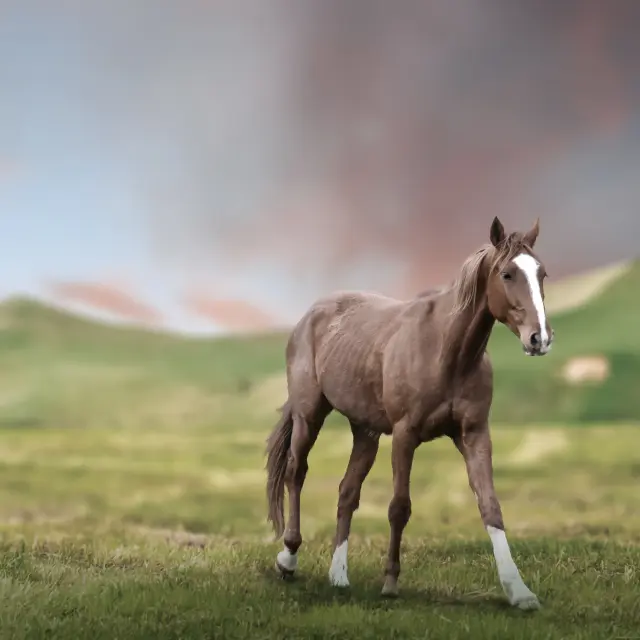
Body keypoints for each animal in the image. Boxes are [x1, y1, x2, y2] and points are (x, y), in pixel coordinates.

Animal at [265, 216, 554, 610]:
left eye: (542, 274)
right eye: (507, 274)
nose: (540, 338)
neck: (447, 352)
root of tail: (311, 314)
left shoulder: (474, 434)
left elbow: (491, 506)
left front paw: (519, 591)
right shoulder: (405, 435)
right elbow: (399, 507)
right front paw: (390, 582)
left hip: (365, 432)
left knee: (347, 491)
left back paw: (339, 575)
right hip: (309, 416)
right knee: (296, 473)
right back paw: (288, 558)